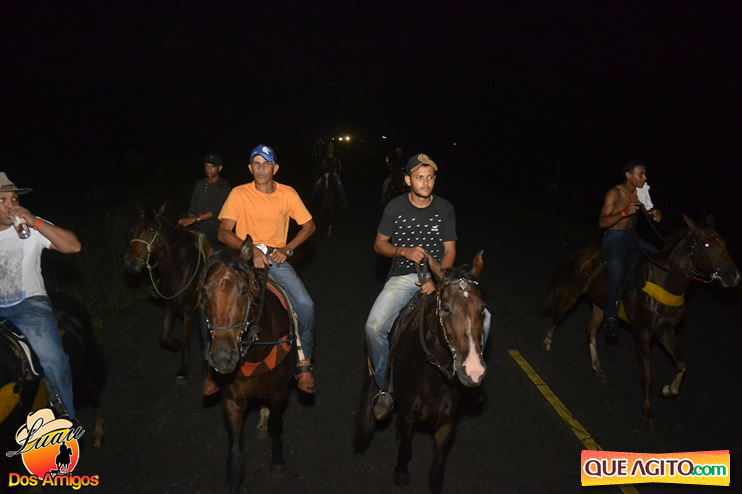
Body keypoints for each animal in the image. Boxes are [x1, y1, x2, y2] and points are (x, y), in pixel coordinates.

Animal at [124, 203, 211, 379]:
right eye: (133, 228)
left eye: (151, 229)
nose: (130, 262)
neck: (179, 268)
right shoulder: (170, 306)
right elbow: (163, 338)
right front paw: (175, 344)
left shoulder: (189, 310)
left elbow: (185, 339)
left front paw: (183, 369)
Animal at [199, 237, 299, 494]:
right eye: (204, 292)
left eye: (244, 290)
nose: (223, 357)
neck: (255, 351)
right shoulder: (232, 399)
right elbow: (235, 461)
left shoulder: (279, 392)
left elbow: (276, 425)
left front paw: (278, 461)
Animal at [355, 252, 487, 494]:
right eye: (445, 308)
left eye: (482, 308)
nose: (473, 370)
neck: (434, 375)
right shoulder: (408, 415)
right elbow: (406, 444)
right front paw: (401, 471)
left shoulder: (447, 423)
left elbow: (437, 463)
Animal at [542, 215, 740, 420]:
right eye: (707, 244)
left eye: (723, 243)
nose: (733, 276)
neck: (665, 281)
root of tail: (584, 252)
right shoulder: (642, 331)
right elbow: (647, 373)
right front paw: (646, 407)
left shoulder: (665, 331)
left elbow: (681, 364)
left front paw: (668, 390)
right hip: (573, 292)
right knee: (559, 314)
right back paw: (548, 341)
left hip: (600, 306)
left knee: (590, 330)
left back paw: (598, 368)